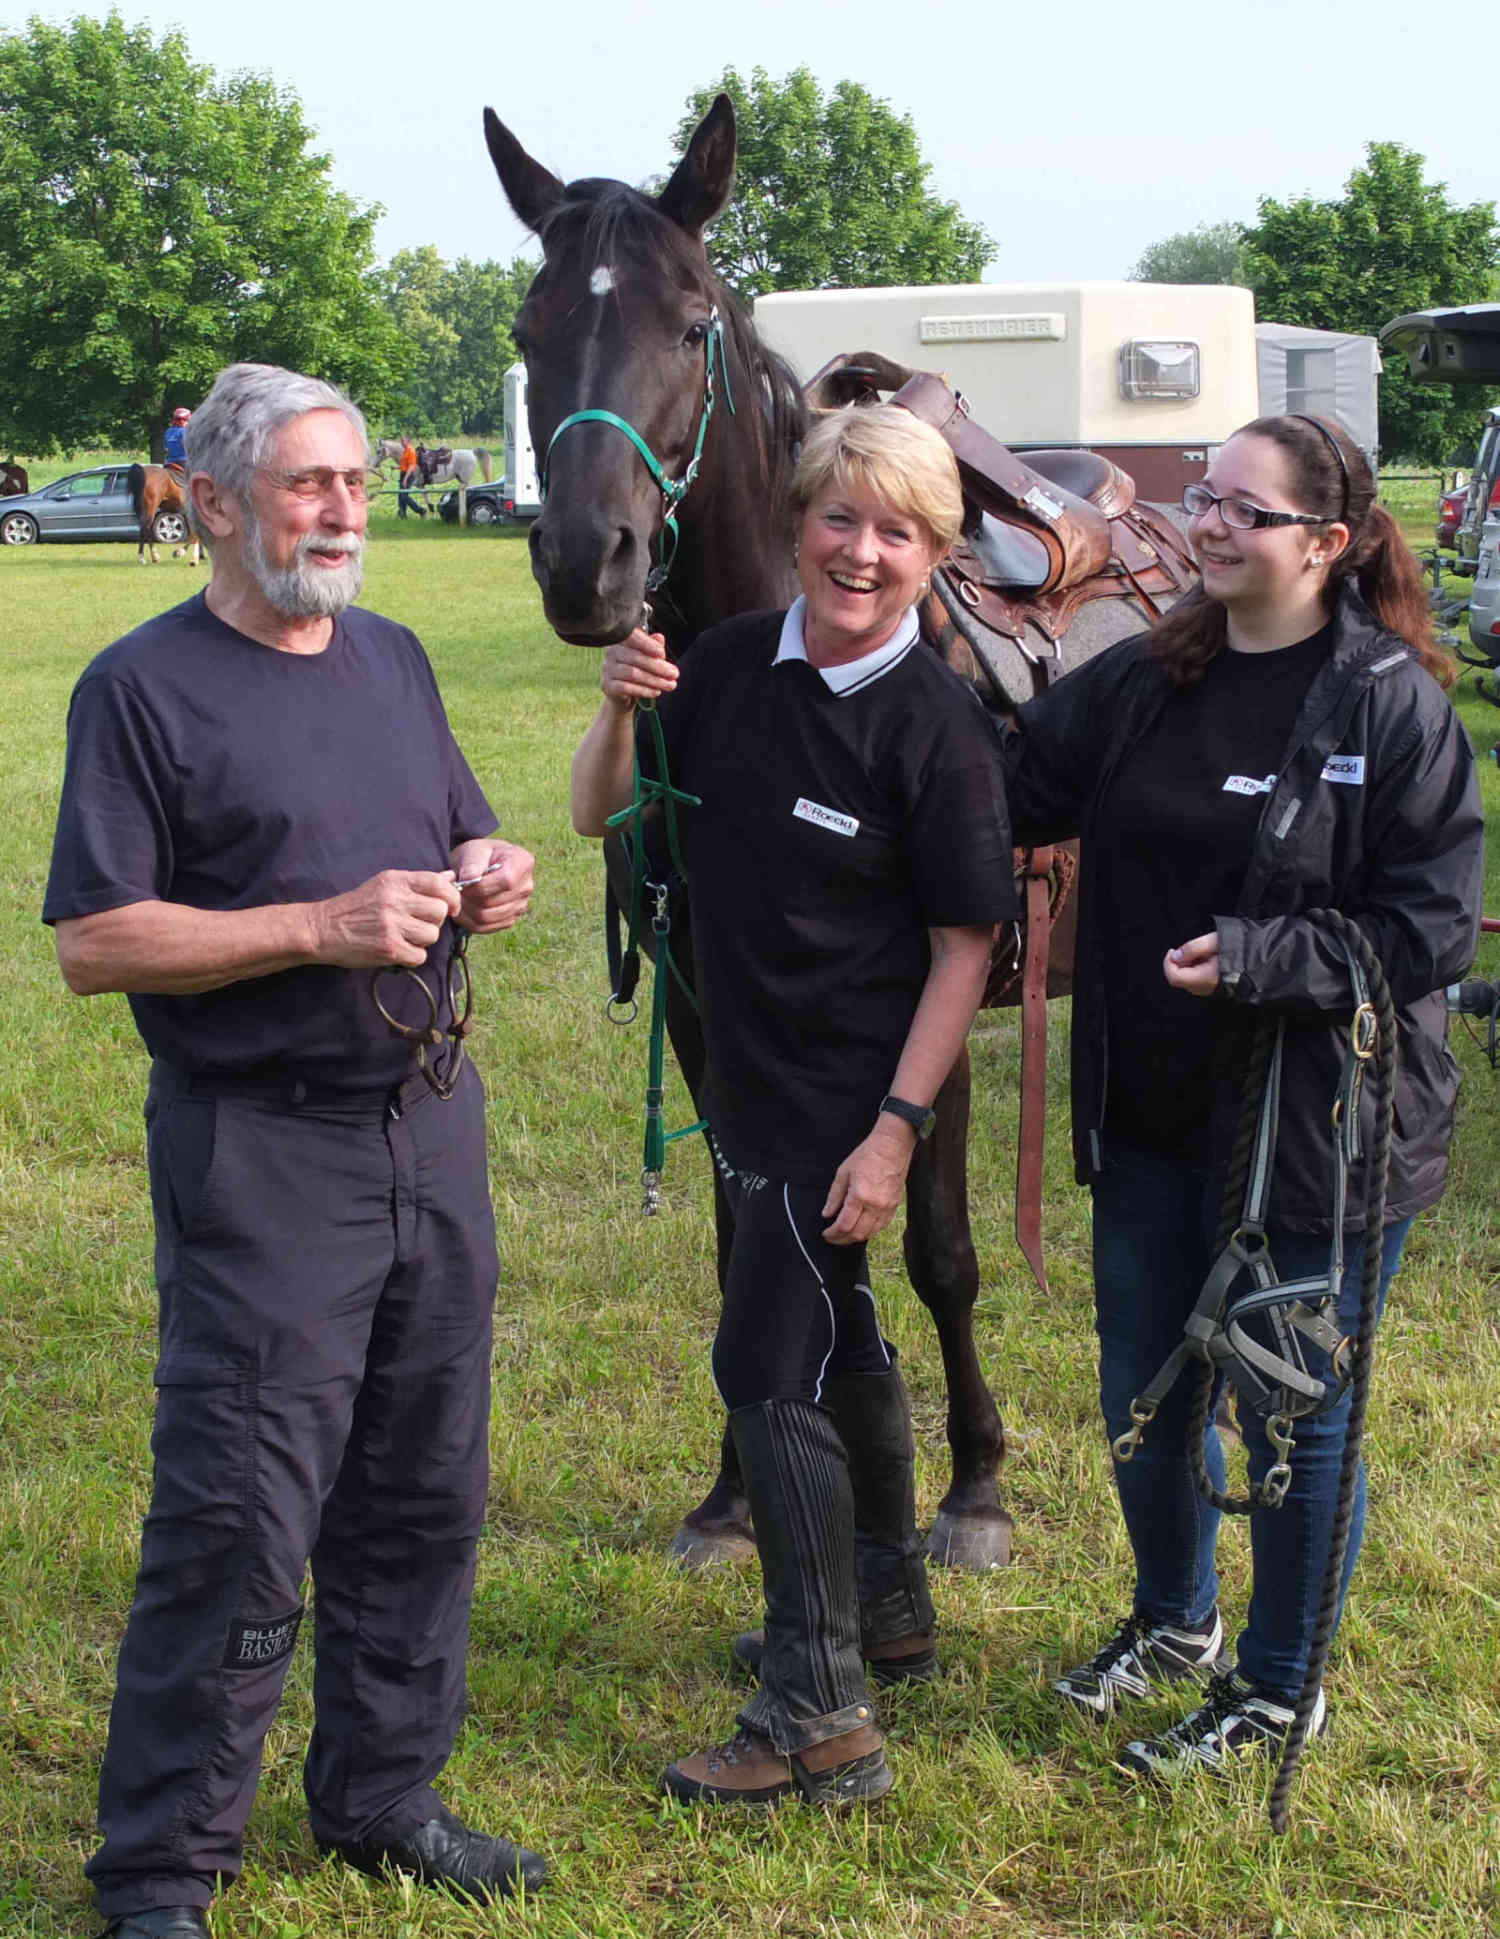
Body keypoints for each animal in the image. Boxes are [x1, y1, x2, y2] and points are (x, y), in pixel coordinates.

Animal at [488, 94, 1193, 1574]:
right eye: (527, 328)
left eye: (689, 320)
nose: (588, 561)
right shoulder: (707, 1014)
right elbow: (738, 1239)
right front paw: (730, 1498)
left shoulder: (937, 1009)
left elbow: (941, 1252)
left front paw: (973, 1488)